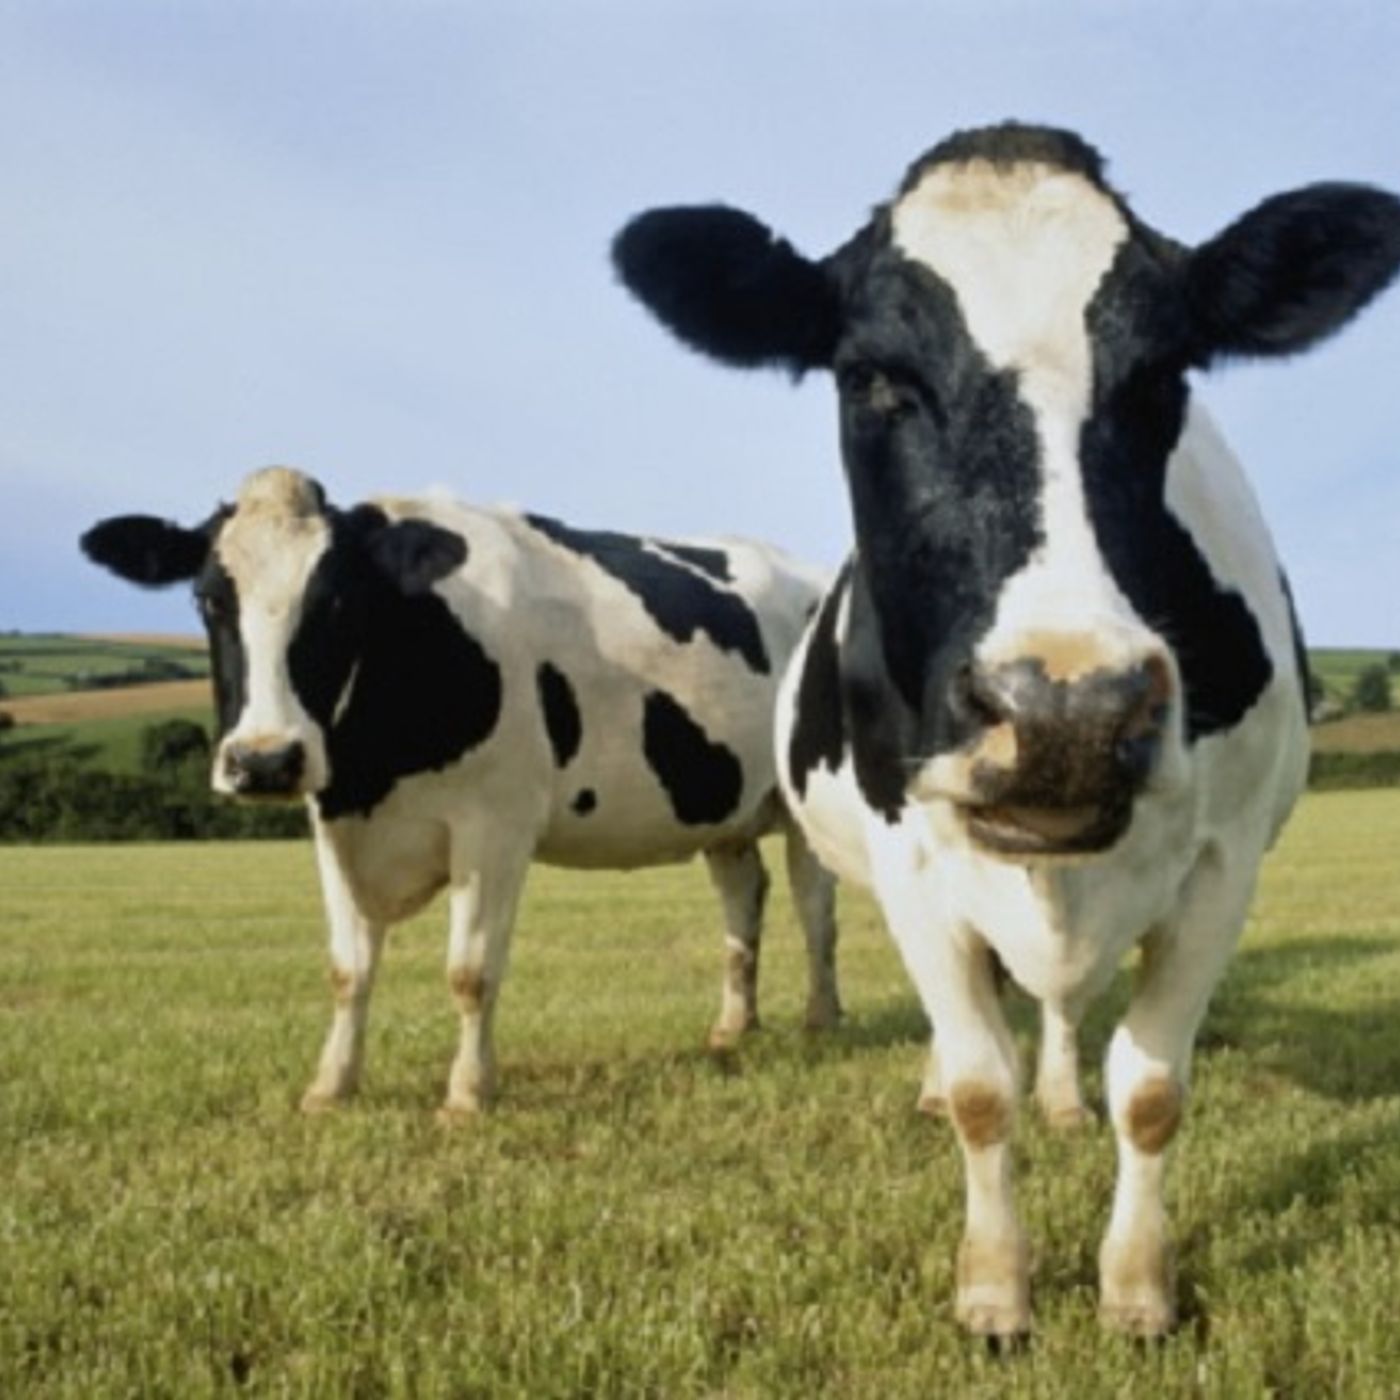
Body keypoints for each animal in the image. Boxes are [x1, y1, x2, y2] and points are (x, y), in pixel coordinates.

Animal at [81, 468, 840, 1116]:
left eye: (335, 600)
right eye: (209, 597)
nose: (264, 760)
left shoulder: (496, 825)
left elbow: (470, 971)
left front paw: (468, 1094)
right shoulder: (333, 823)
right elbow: (347, 970)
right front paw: (331, 1086)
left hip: (805, 806)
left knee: (815, 911)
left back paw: (821, 1020)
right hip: (725, 809)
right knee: (743, 902)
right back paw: (733, 1028)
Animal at [612, 122, 1400, 1337]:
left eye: (1165, 375)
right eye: (873, 377)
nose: (1065, 710)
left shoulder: (1224, 862)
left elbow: (1152, 1089)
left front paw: (1136, 1289)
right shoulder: (910, 856)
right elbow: (985, 1089)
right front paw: (993, 1290)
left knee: (1065, 1007)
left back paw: (1066, 1095)